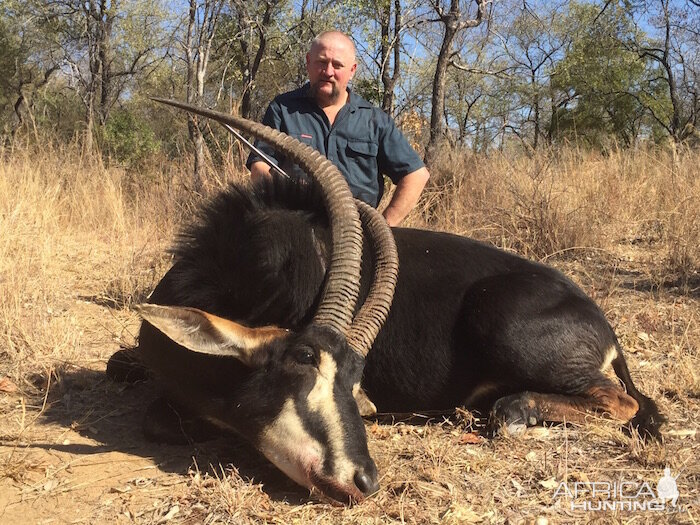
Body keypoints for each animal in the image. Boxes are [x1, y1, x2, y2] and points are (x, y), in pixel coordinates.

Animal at [106, 98, 664, 504]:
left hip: (505, 326)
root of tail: (601, 322)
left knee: (622, 401)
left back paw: (515, 410)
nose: (364, 481)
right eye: (303, 360)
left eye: (356, 380)